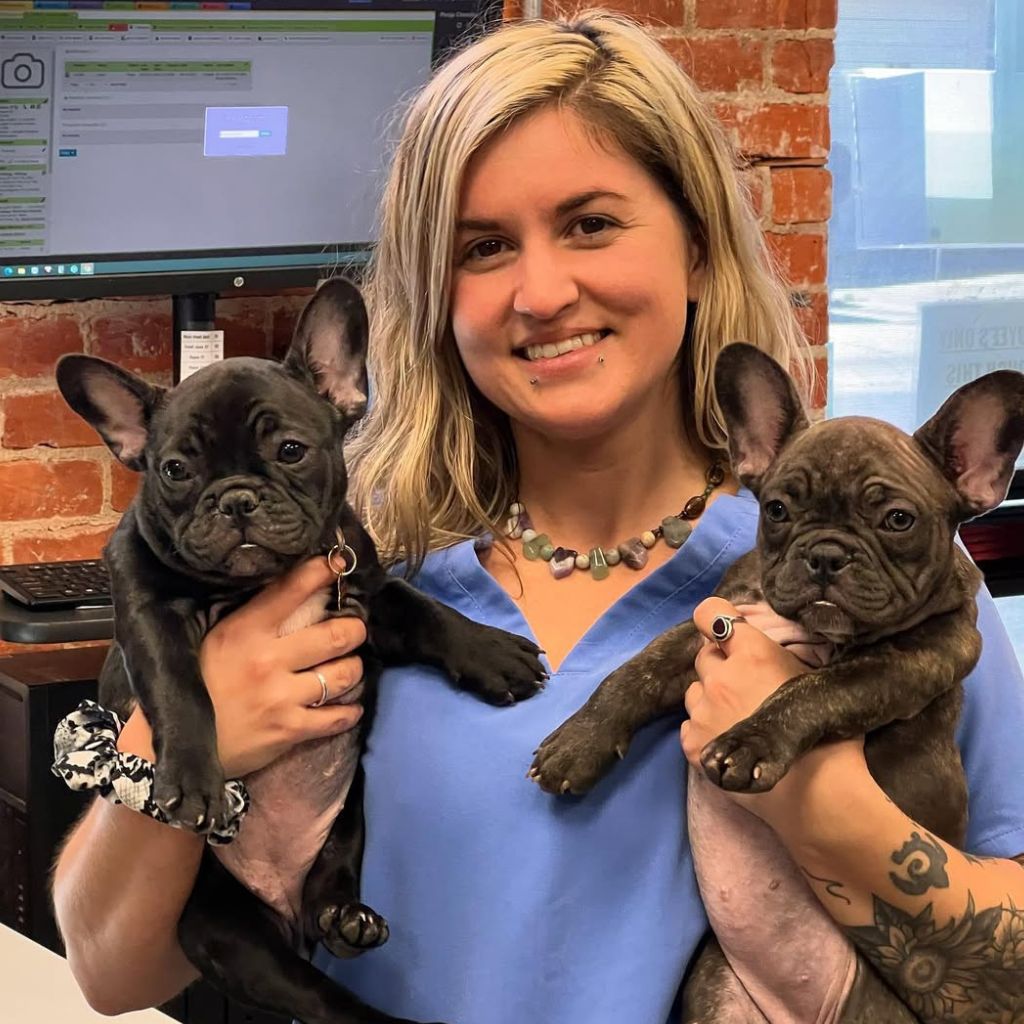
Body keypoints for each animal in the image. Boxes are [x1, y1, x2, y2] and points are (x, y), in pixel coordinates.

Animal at [56, 274, 548, 1024]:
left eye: (290, 450)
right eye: (174, 469)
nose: (235, 500)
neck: (261, 582)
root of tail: (283, 904)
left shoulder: (363, 591)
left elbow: (426, 611)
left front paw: (491, 652)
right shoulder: (144, 606)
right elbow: (178, 685)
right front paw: (193, 779)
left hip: (347, 827)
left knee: (328, 899)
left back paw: (347, 917)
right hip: (224, 929)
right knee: (324, 999)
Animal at [528, 346, 1024, 1024]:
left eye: (898, 520)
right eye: (778, 510)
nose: (827, 555)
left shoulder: (912, 661)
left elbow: (813, 690)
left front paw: (749, 743)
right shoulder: (713, 625)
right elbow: (633, 673)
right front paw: (577, 743)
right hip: (716, 990)